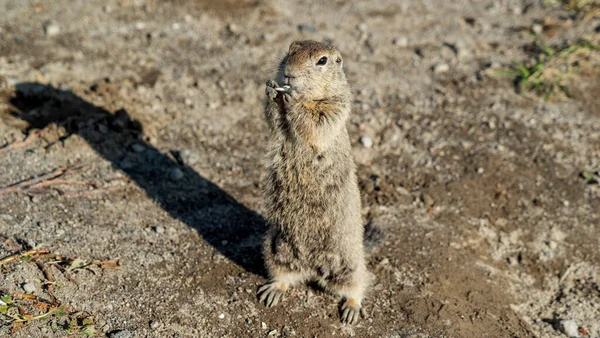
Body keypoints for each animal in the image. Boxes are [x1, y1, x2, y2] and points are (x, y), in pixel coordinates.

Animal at [258, 40, 370, 324]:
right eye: (290, 49)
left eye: (322, 61)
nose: (289, 72)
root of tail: (313, 269)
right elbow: (273, 119)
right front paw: (271, 90)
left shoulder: (337, 105)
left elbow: (317, 122)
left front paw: (292, 98)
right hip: (276, 251)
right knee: (285, 276)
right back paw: (273, 291)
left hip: (349, 262)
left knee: (358, 284)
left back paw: (351, 309)